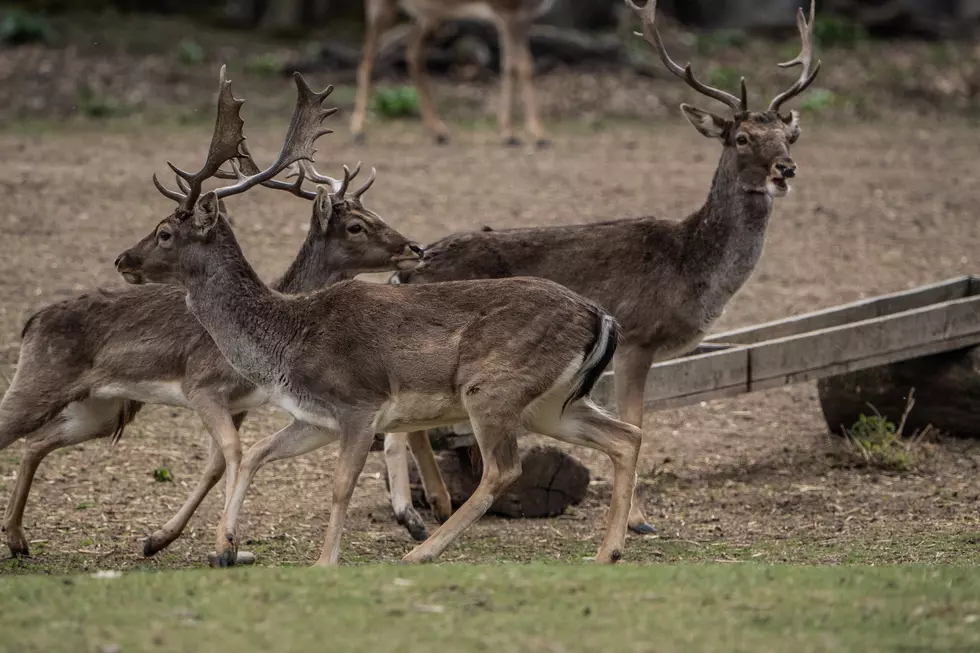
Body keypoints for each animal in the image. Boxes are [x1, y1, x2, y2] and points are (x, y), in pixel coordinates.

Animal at [0, 67, 424, 561]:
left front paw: (179, 540)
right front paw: (219, 544)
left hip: (99, 407)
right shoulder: (201, 384)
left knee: (37, 441)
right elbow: (232, 455)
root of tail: (32, 322)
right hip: (39, 381)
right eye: (356, 225)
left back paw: (18, 538)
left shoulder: (239, 402)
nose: (414, 247)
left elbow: (220, 462)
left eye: (164, 232)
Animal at [114, 68, 641, 568]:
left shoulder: (359, 403)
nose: (122, 259)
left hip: (495, 386)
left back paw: (422, 551)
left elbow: (339, 485)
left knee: (503, 469)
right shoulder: (315, 417)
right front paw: (223, 547)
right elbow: (256, 453)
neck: (285, 339)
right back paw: (607, 552)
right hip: (551, 403)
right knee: (625, 436)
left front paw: (323, 561)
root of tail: (601, 316)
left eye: (163, 233)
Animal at [351, 0, 552, 147]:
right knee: (367, 55)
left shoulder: (519, 17)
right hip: (382, 5)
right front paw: (539, 135)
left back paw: (440, 132)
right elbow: (525, 67)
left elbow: (509, 68)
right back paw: (358, 131)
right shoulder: (508, 11)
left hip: (429, 14)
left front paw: (509, 135)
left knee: (413, 50)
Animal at [382, 0, 821, 539]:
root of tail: (407, 271)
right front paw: (640, 520)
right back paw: (417, 514)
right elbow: (638, 420)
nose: (786, 169)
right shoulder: (637, 338)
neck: (693, 269)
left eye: (788, 136)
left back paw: (435, 506)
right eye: (741, 137)